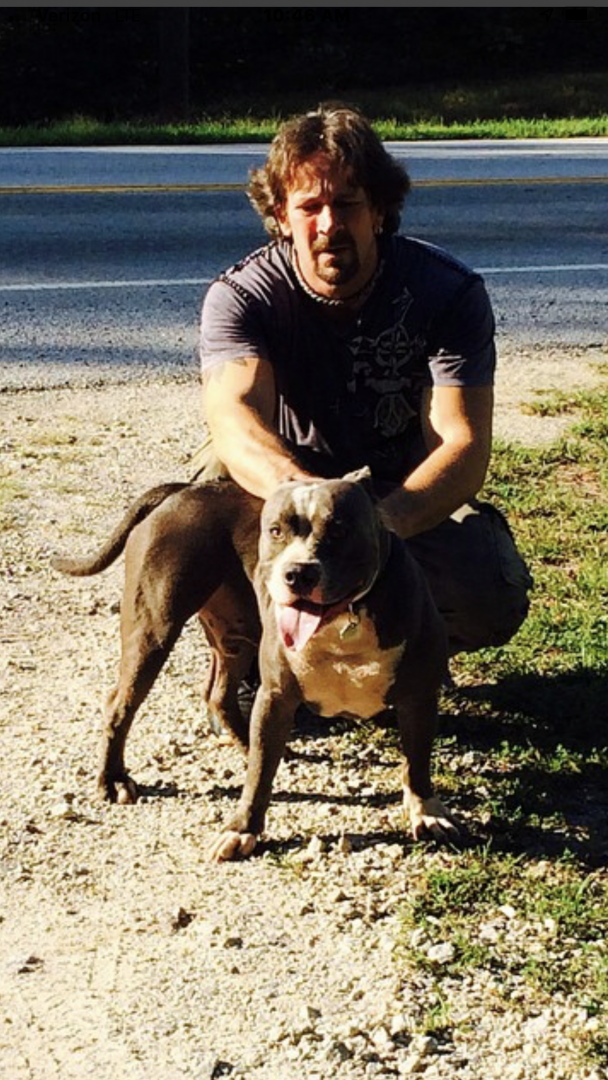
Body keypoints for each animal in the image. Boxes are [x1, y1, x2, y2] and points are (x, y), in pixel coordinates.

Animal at [53, 470, 458, 852]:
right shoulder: (276, 695)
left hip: (235, 637)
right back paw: (113, 779)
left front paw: (426, 812)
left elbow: (418, 760)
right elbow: (260, 777)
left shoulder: (419, 698)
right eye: (275, 530)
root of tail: (186, 489)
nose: (298, 573)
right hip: (153, 629)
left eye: (339, 530)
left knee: (220, 695)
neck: (344, 619)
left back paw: (248, 745)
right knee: (120, 703)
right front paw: (241, 830)